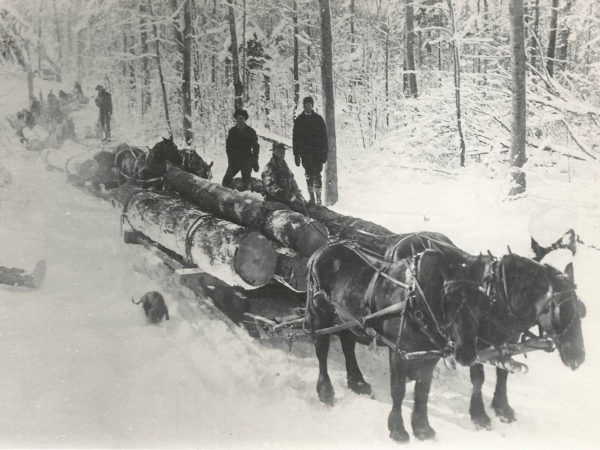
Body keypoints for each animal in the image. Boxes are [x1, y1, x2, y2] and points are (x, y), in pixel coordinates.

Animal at [302, 241, 490, 442]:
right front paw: (397, 428)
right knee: (322, 351)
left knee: (348, 345)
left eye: (481, 301)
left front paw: (422, 428)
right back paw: (325, 391)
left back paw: (358, 383)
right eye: (449, 297)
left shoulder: (430, 355)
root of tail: (323, 249)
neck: (416, 299)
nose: (468, 354)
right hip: (320, 315)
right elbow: (398, 390)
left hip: (348, 316)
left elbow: (422, 391)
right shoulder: (399, 351)